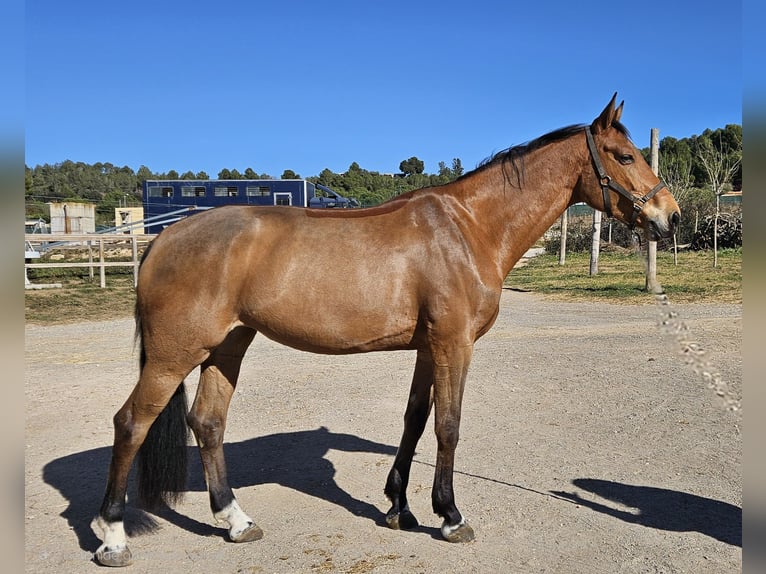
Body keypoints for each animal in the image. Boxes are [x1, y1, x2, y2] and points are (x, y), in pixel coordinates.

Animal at [94, 94, 680, 567]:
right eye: (624, 156)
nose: (669, 216)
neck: (468, 228)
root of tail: (163, 239)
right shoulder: (453, 345)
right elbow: (448, 426)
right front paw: (450, 515)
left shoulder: (428, 348)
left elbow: (415, 422)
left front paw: (399, 507)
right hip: (174, 354)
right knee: (131, 423)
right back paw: (113, 535)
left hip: (227, 346)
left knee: (208, 423)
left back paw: (236, 521)